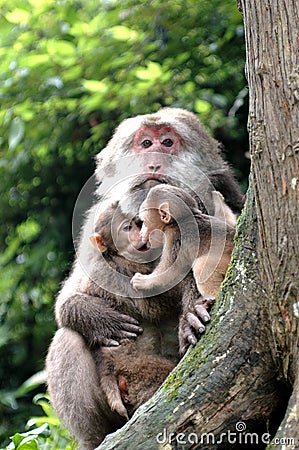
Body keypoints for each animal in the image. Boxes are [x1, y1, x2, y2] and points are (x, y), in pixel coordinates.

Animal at [46, 107, 244, 448]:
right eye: (146, 143)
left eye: (168, 142)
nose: (154, 161)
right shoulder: (93, 225)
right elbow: (69, 300)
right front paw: (99, 318)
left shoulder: (220, 204)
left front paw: (191, 311)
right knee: (68, 338)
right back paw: (97, 437)